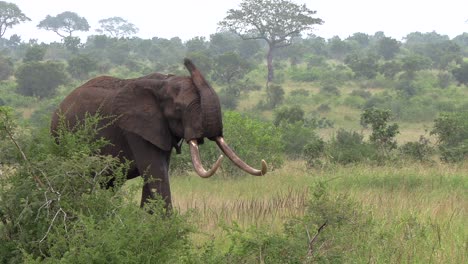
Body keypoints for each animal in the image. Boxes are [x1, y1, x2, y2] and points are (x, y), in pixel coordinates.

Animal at [50, 58, 266, 209]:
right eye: (179, 109)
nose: (186, 59)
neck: (163, 82)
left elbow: (158, 173)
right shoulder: (135, 129)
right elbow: (156, 173)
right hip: (62, 138)